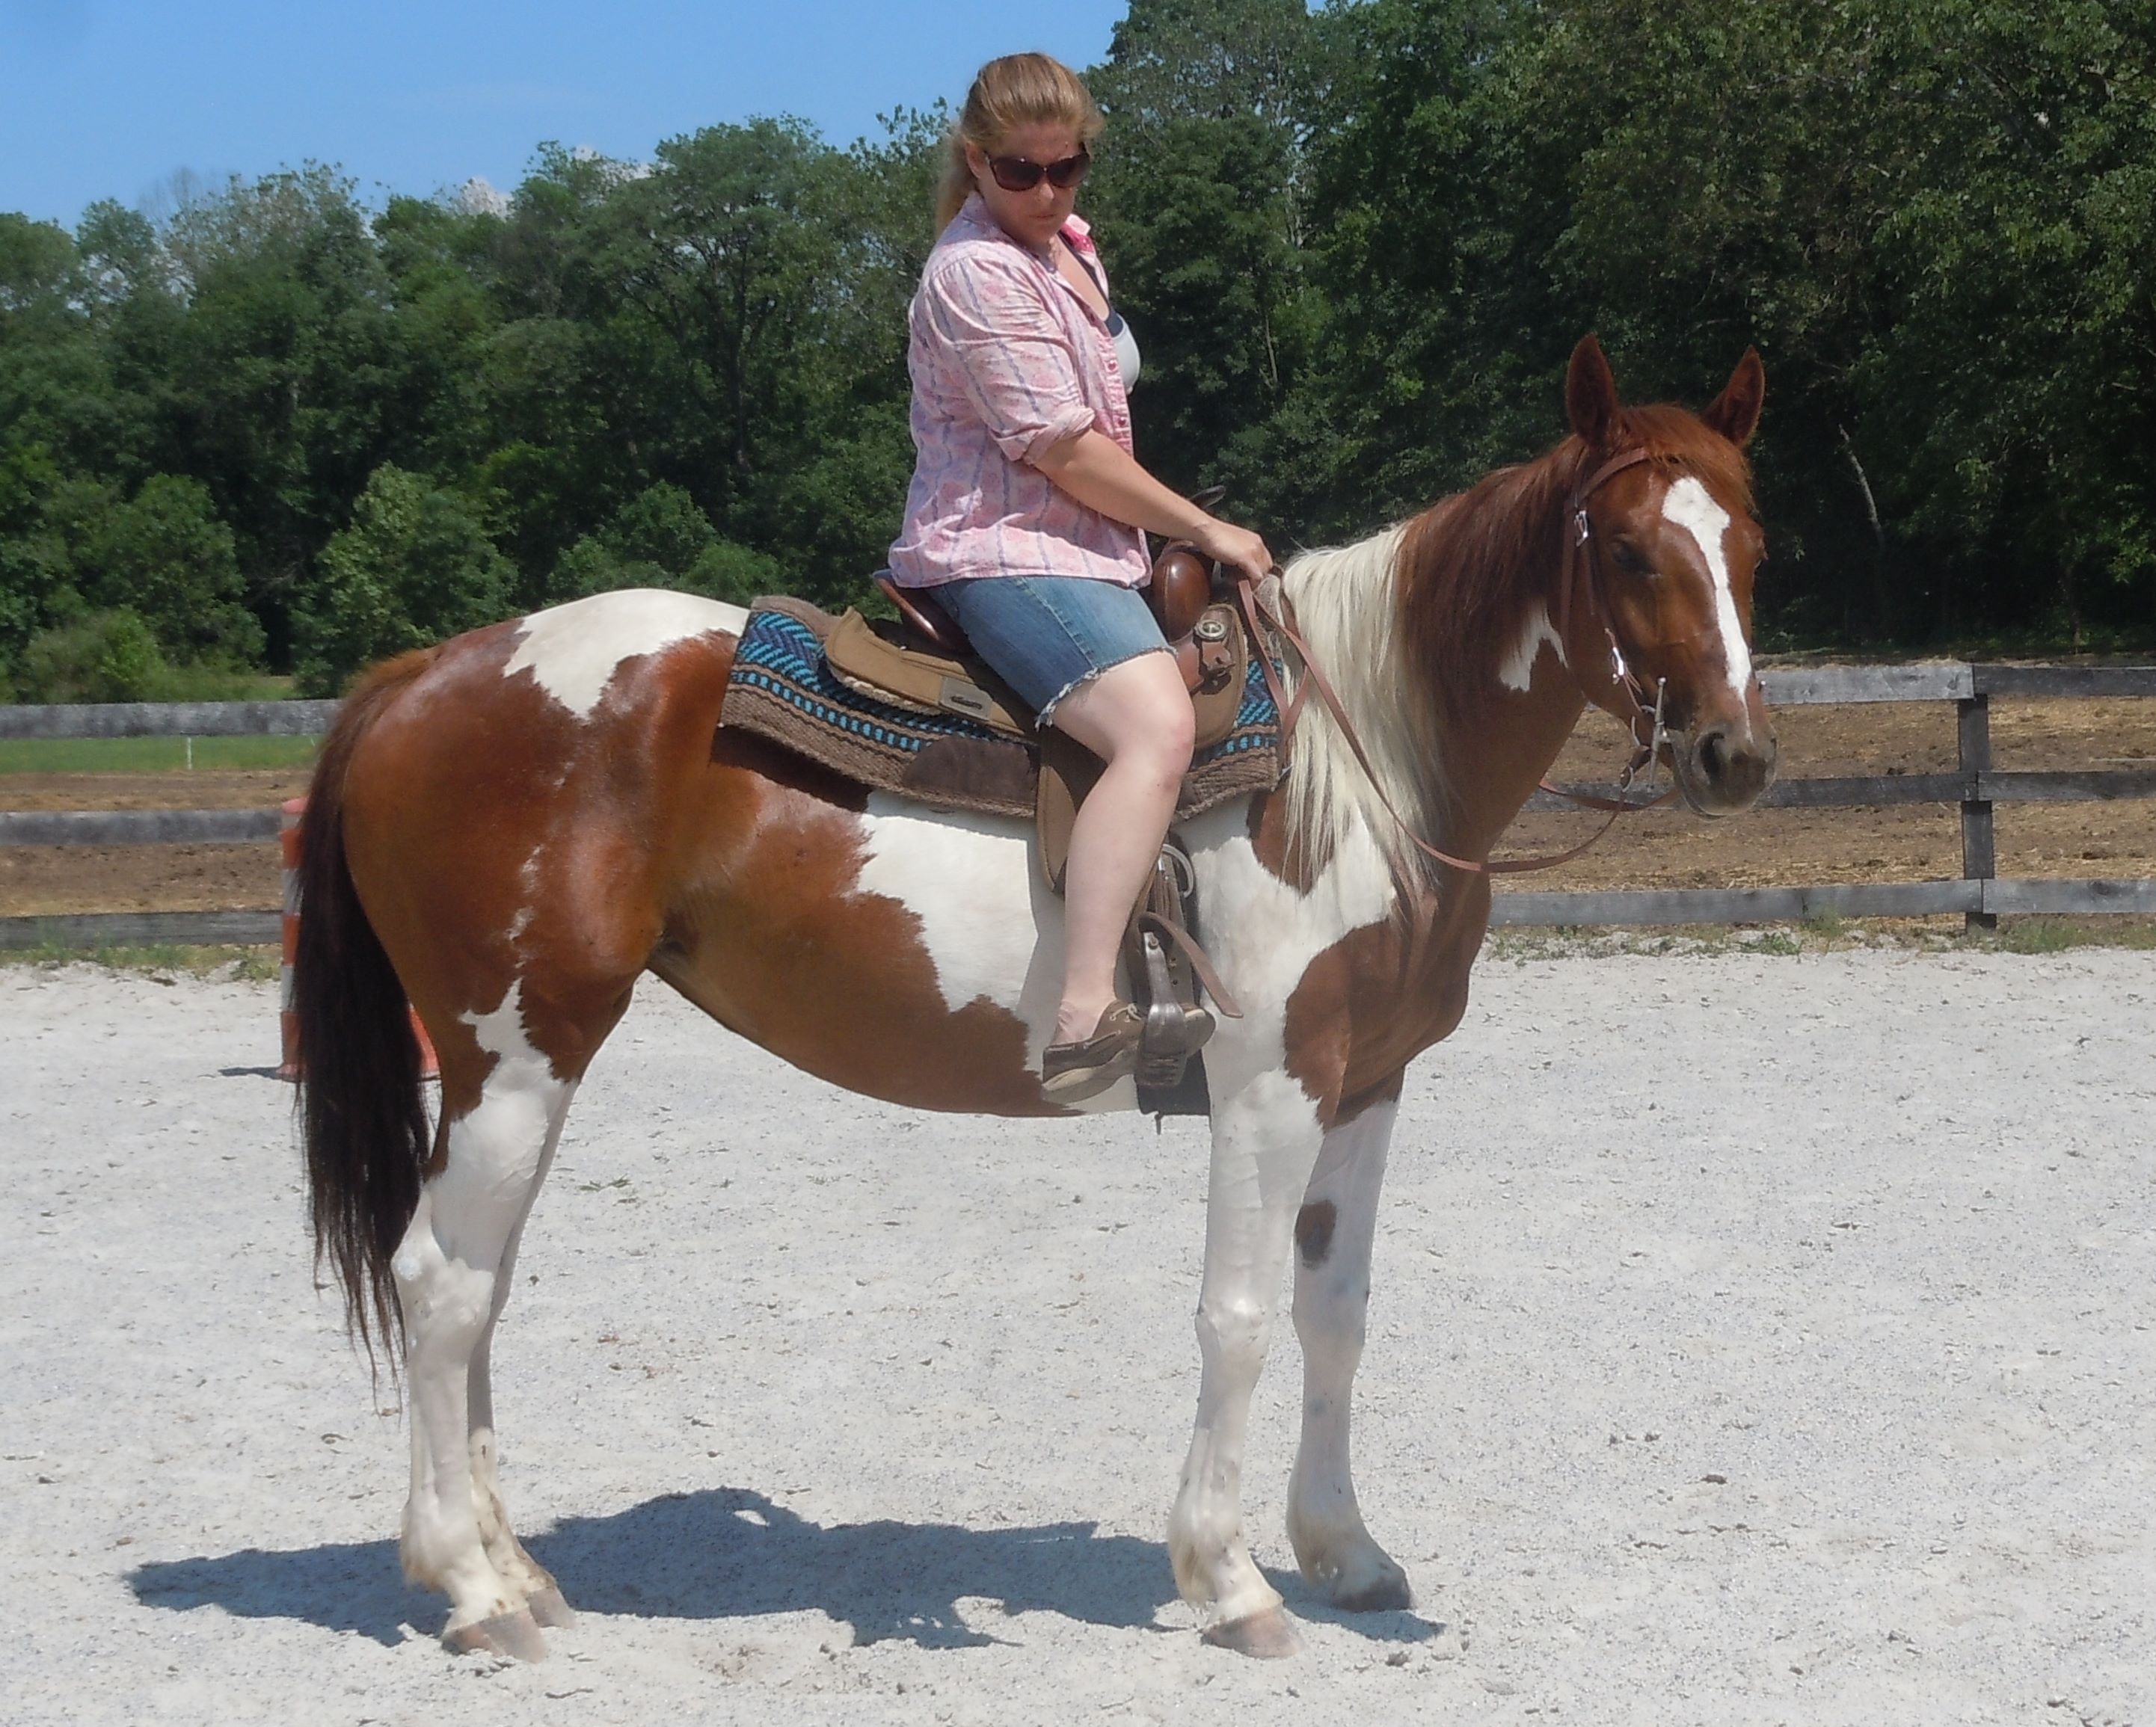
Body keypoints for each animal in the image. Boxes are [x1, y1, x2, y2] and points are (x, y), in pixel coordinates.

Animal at [294, 334, 1776, 1662]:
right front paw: (1229, 1580)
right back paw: (469, 1589)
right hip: (513, 1050)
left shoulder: (1366, 1083)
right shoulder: (1267, 1082)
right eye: (1628, 551)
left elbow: (1334, 1312)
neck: (1354, 775)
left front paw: (1344, 1553)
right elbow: (1238, 1320)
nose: (1735, 755)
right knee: (440, 1283)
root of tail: (420, 675)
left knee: (480, 1287)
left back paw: (519, 1571)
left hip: (525, 1066)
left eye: (1752, 546)